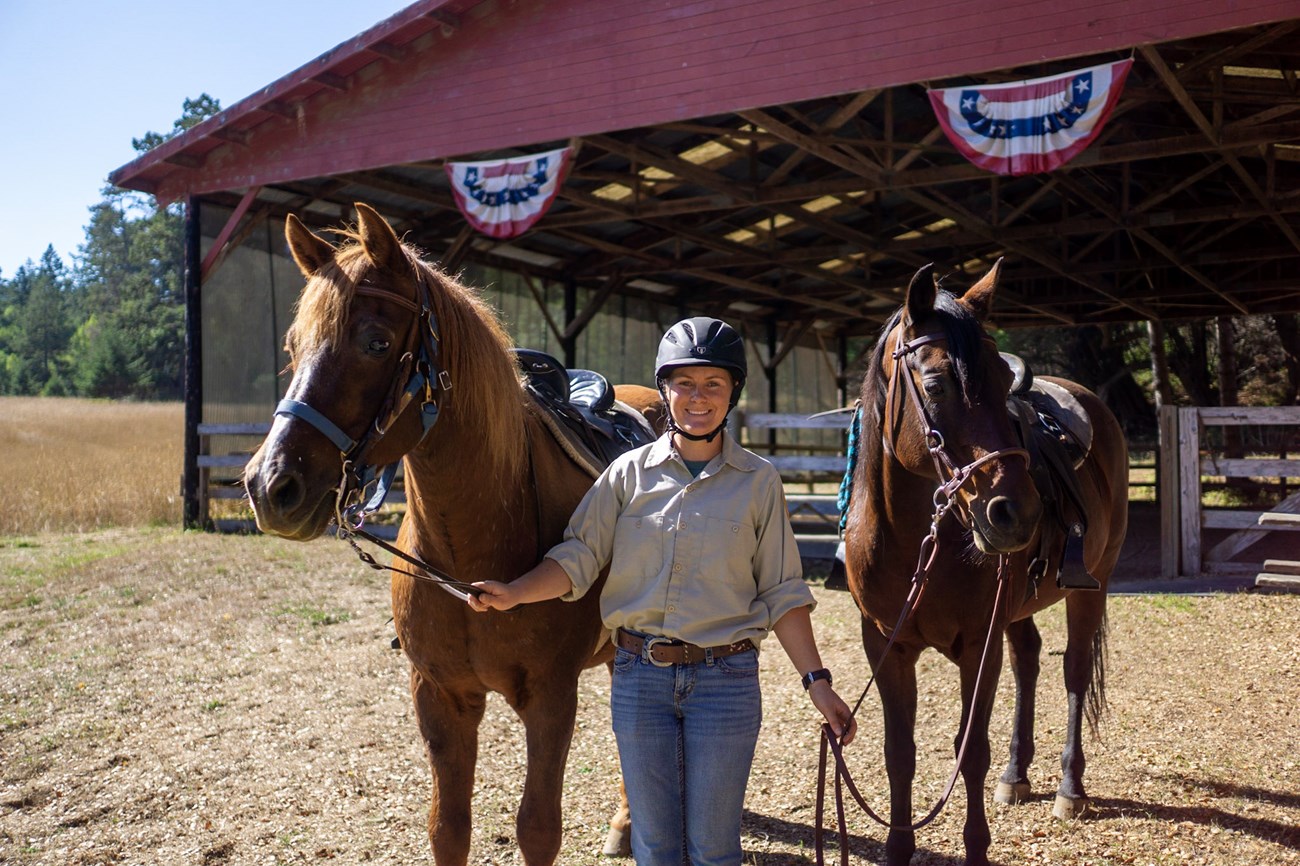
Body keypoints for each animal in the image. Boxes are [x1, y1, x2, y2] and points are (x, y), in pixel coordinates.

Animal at [241, 204, 660, 863]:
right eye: (292, 347)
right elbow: (448, 826)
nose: (270, 486)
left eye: (376, 342)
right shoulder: (440, 697)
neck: (471, 558)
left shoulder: (551, 698)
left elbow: (537, 828)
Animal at [842, 261, 1128, 863]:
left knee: (1072, 671)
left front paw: (976, 845)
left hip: (1091, 585)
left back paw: (1070, 788)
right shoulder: (885, 644)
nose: (1016, 512)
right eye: (934, 384)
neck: (916, 543)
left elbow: (970, 750)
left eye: (1002, 383)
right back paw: (1016, 776)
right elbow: (899, 754)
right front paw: (898, 846)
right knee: (1030, 661)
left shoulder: (979, 643)